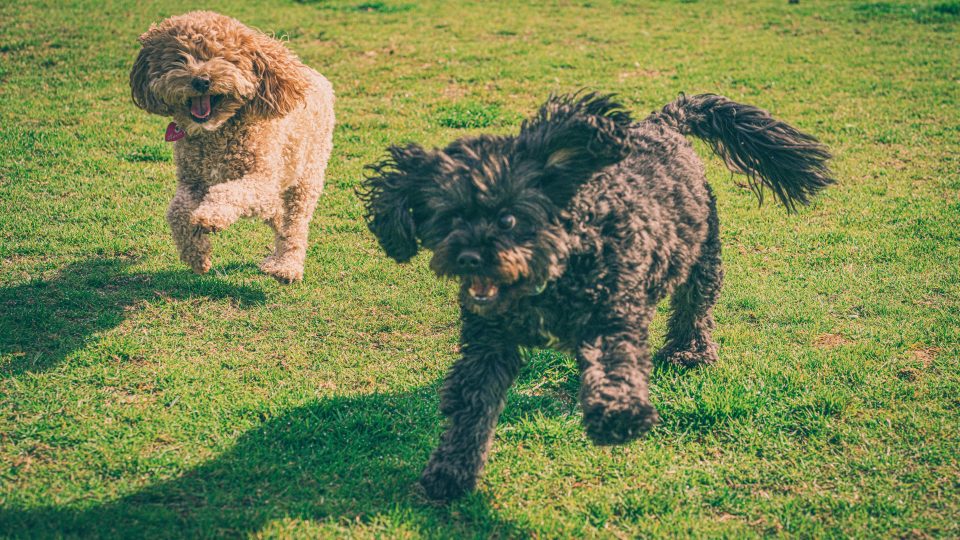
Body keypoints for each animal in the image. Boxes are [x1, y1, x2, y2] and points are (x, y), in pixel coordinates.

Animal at [360, 90, 832, 500]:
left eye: (509, 218)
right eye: (449, 217)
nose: (469, 256)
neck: (553, 272)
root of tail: (662, 123)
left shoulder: (611, 312)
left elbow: (615, 363)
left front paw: (617, 415)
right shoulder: (488, 344)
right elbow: (470, 407)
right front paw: (450, 471)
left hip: (702, 253)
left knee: (694, 304)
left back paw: (689, 352)